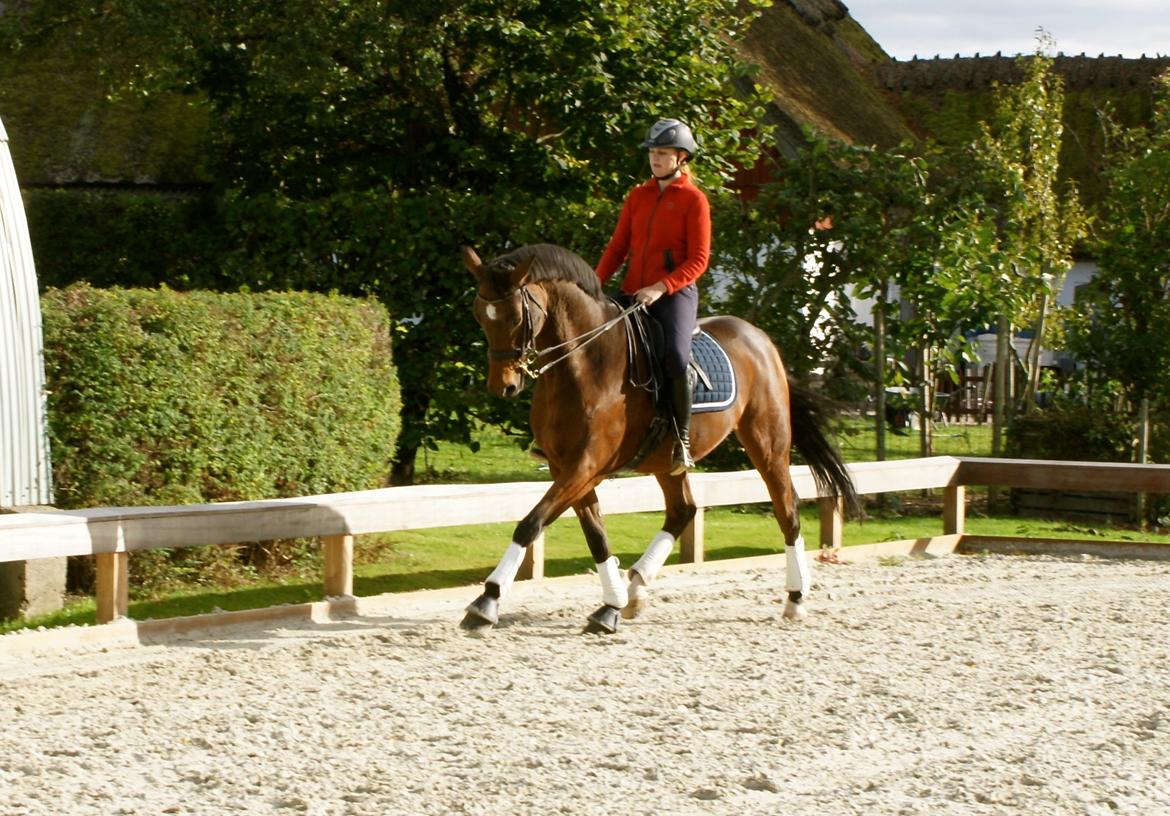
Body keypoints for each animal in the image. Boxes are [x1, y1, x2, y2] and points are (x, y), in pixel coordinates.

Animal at [458, 244, 861, 632]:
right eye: (479, 315)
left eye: (516, 317)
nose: (503, 386)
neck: (585, 364)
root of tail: (760, 338)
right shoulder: (566, 468)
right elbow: (595, 534)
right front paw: (611, 605)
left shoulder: (586, 466)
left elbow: (531, 523)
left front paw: (487, 601)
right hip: (668, 460)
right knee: (683, 510)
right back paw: (636, 588)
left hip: (767, 442)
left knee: (786, 507)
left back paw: (795, 598)